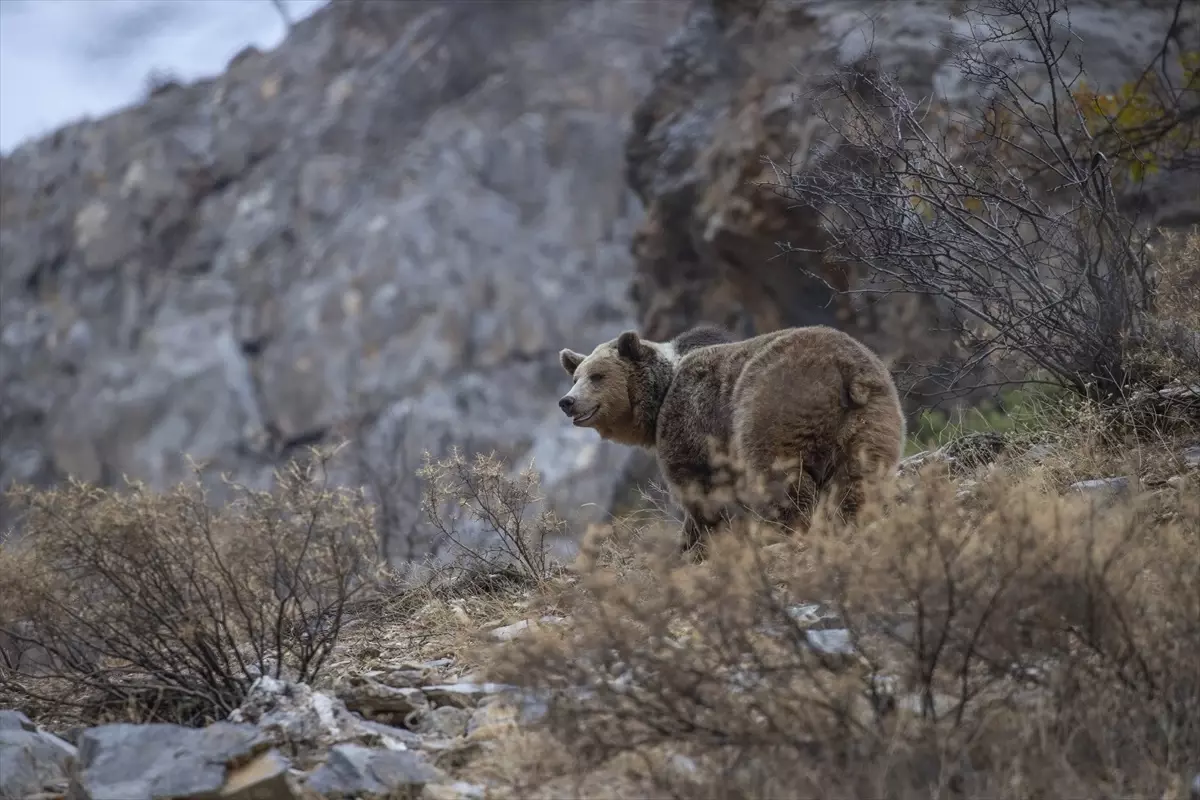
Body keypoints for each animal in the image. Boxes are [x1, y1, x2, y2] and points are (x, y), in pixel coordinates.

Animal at [556, 321, 902, 554]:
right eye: (576, 377)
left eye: (598, 376)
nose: (567, 401)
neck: (661, 394)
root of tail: (845, 368)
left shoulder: (690, 423)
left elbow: (699, 491)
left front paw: (694, 544)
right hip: (870, 418)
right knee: (859, 477)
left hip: (774, 406)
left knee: (782, 476)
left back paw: (790, 531)